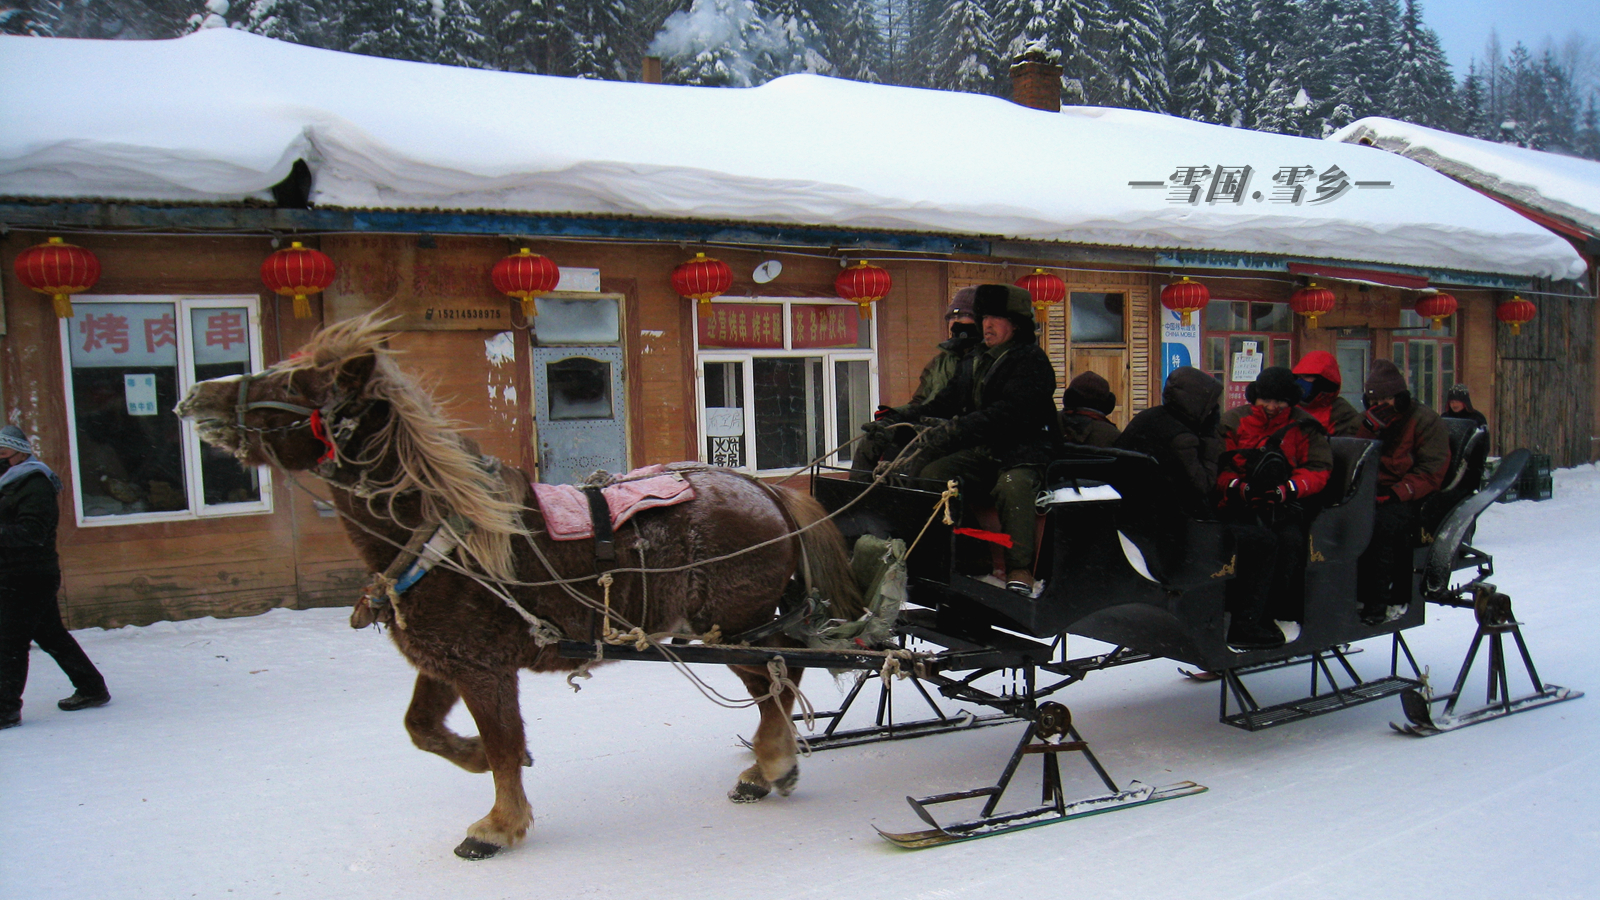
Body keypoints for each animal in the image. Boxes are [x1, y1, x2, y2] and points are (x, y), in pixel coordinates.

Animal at [178, 313, 864, 851]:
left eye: (296, 384)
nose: (195, 395)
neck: (441, 533)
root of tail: (764, 489)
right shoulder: (444, 661)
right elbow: (422, 730)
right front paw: (476, 761)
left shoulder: (484, 668)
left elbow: (504, 745)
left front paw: (499, 824)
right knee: (779, 679)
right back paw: (771, 764)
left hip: (733, 628)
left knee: (779, 679)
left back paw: (772, 761)